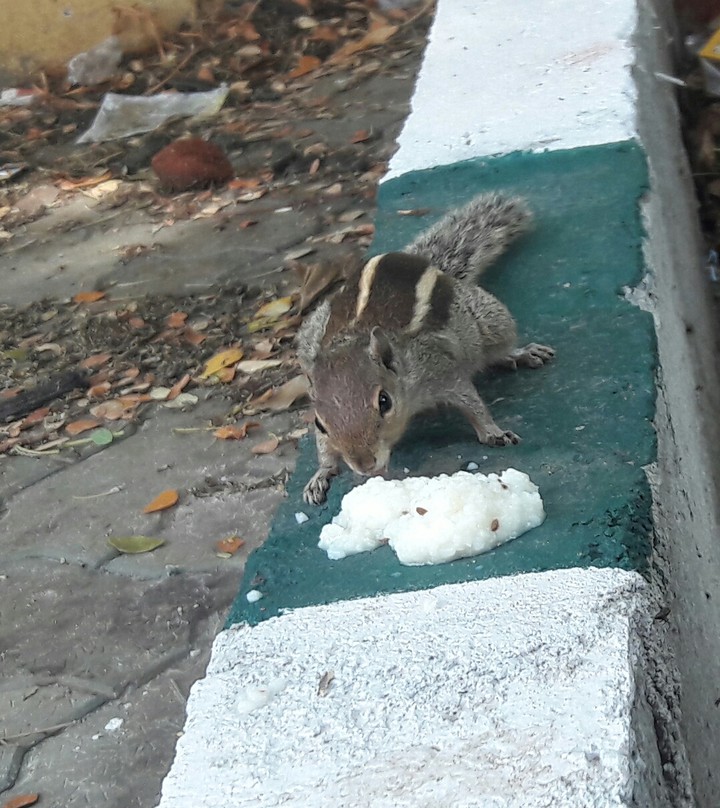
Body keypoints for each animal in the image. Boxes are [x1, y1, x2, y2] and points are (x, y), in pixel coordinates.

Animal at [296, 193, 555, 505]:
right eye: (319, 423)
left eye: (384, 402)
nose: (365, 464)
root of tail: (421, 259)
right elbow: (323, 448)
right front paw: (321, 473)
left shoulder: (439, 370)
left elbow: (471, 402)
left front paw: (494, 432)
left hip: (488, 319)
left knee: (497, 345)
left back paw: (520, 353)